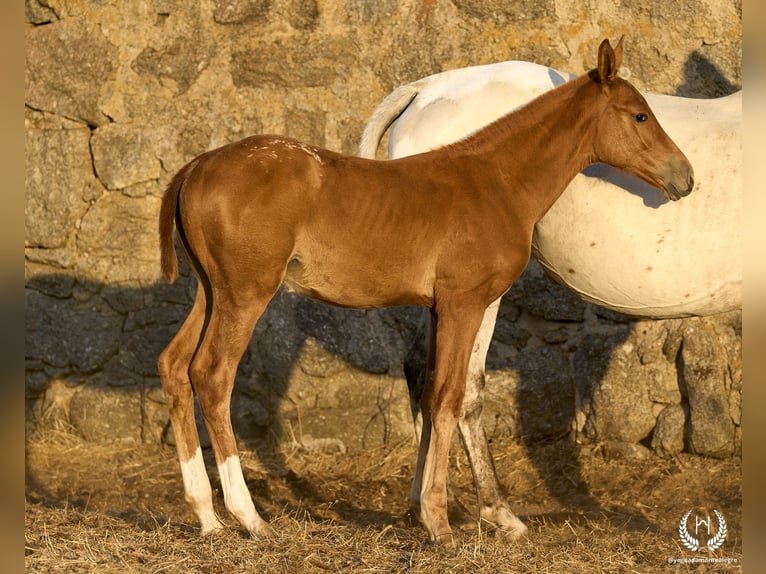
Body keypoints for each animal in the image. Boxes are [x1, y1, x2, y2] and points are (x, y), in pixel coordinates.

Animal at [159, 38, 692, 548]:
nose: (685, 176)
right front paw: (440, 522)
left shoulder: (439, 309)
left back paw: (206, 517)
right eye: (640, 114)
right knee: (212, 375)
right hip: (246, 293)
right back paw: (249, 517)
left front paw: (426, 511)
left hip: (212, 292)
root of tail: (198, 164)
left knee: (174, 365)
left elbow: (432, 387)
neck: (496, 180)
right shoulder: (464, 302)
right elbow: (449, 395)